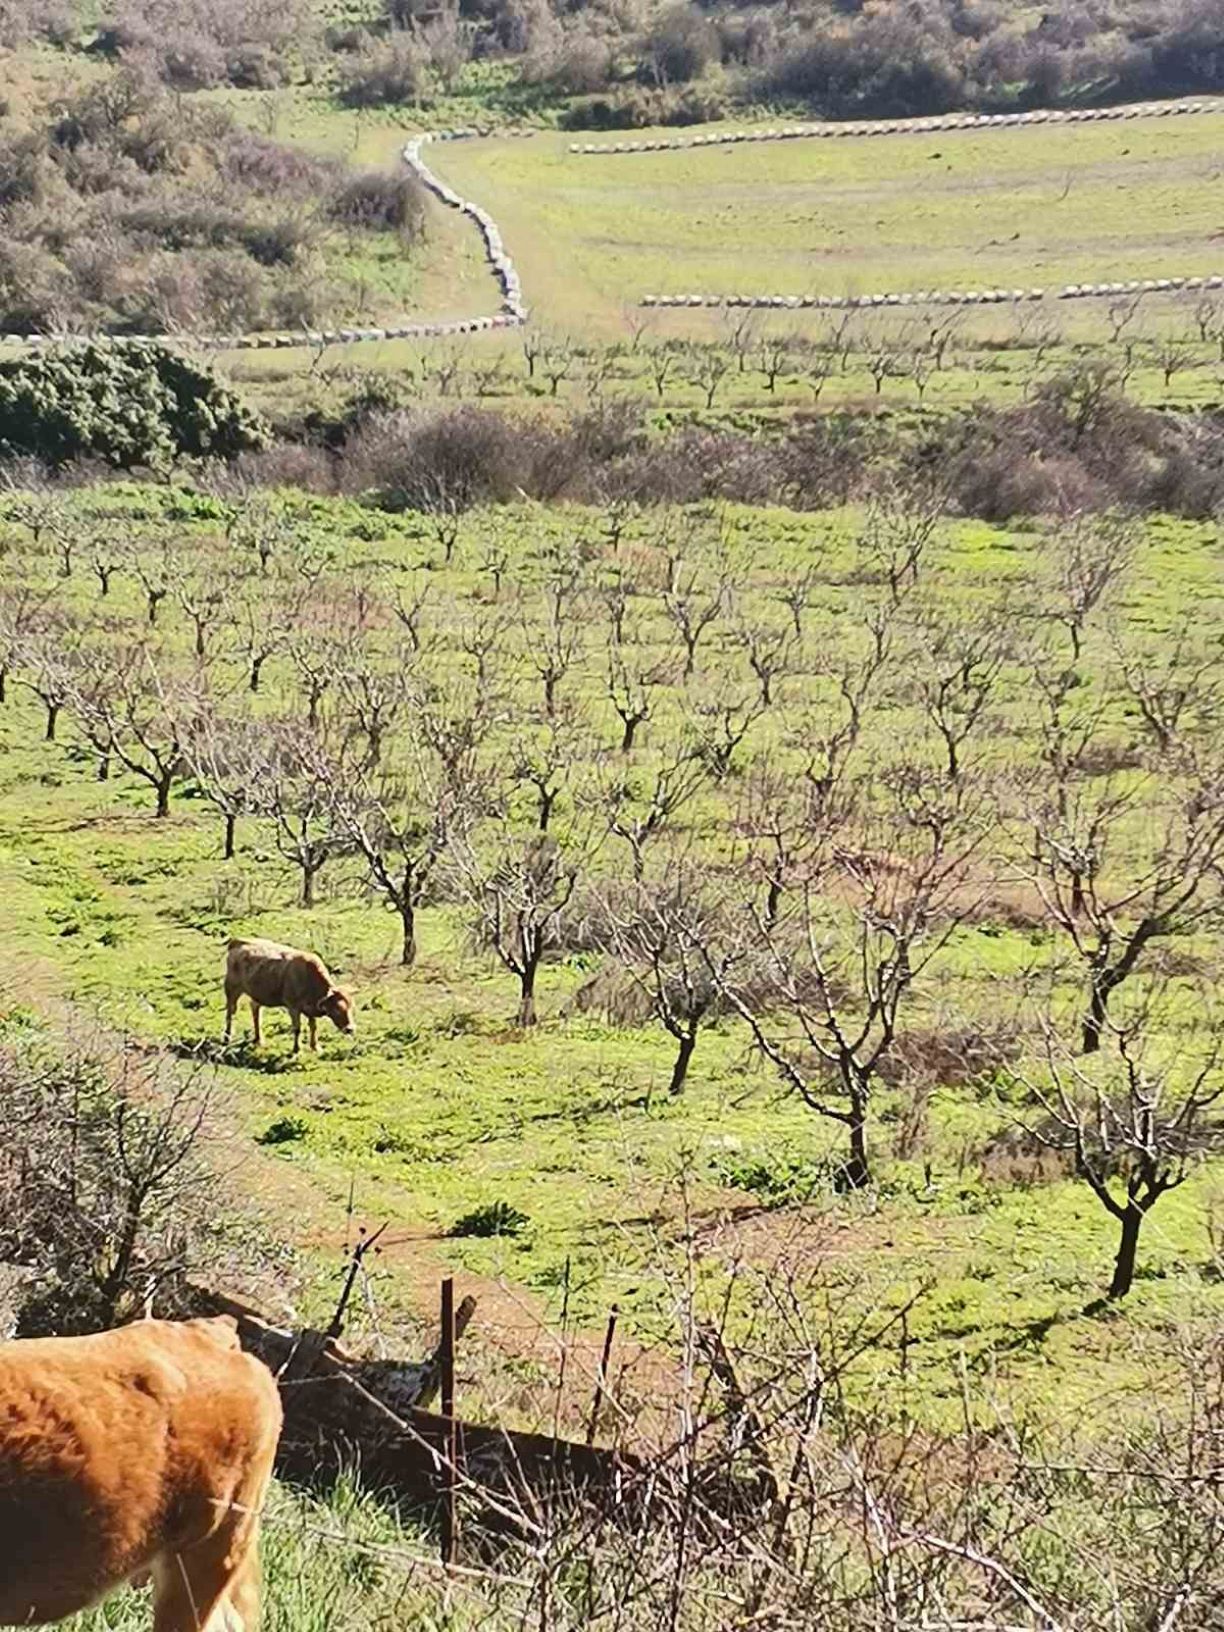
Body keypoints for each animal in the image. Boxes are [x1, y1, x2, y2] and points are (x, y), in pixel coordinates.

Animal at [223, 933, 354, 1057]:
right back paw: (226, 1038)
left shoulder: (310, 1008)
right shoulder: (293, 1007)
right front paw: (297, 1050)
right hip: (231, 988)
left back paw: (258, 1039)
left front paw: (315, 1047)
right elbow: (297, 1029)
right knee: (230, 1012)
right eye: (337, 1009)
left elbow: (313, 1026)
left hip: (256, 994)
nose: (350, 1029)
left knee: (255, 1011)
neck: (309, 978)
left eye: (350, 1008)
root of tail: (237, 941)